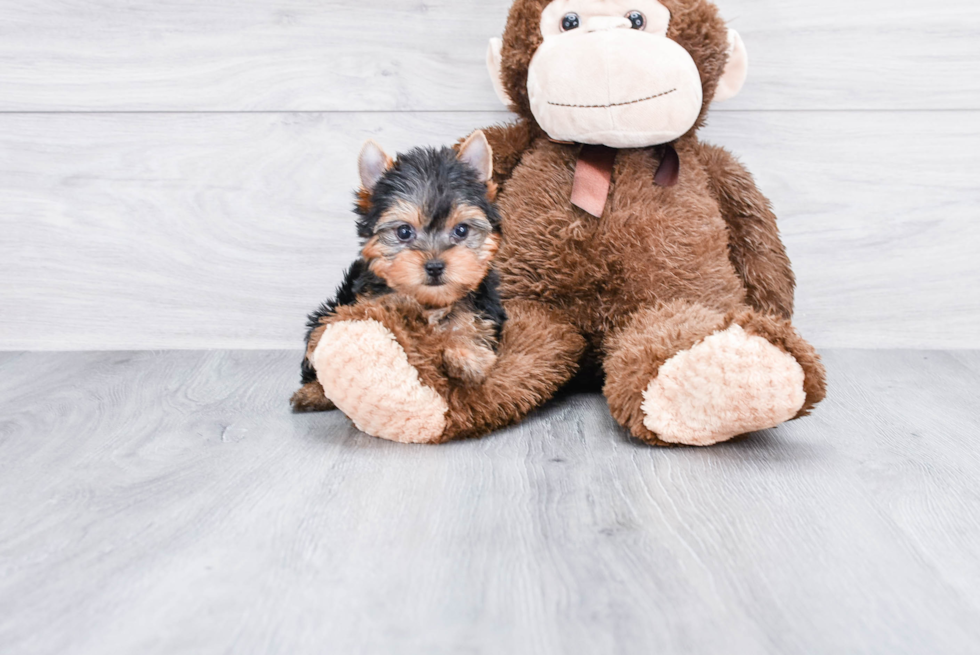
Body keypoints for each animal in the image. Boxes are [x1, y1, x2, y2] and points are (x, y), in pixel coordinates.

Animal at [290, 131, 506, 412]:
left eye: (461, 230)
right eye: (404, 232)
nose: (434, 266)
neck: (429, 302)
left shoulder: (483, 305)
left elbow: (464, 317)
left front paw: (466, 354)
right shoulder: (373, 295)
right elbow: (367, 313)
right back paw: (313, 392)